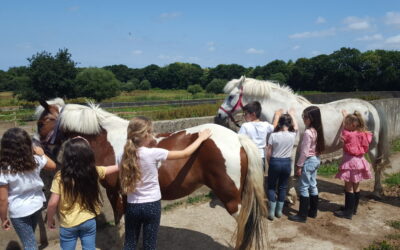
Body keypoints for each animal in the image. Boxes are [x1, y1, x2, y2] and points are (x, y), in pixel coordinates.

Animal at [37, 97, 268, 250]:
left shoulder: (115, 192)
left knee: (244, 222)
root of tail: (238, 138)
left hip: (230, 197)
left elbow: (120, 221)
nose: (40, 148)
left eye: (41, 122)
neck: (108, 141)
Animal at [216, 76, 390, 197]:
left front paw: (290, 196)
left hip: (372, 146)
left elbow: (291, 173)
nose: (218, 116)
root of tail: (370, 107)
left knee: (376, 165)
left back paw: (376, 191)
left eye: (231, 96)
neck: (284, 113)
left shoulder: (292, 147)